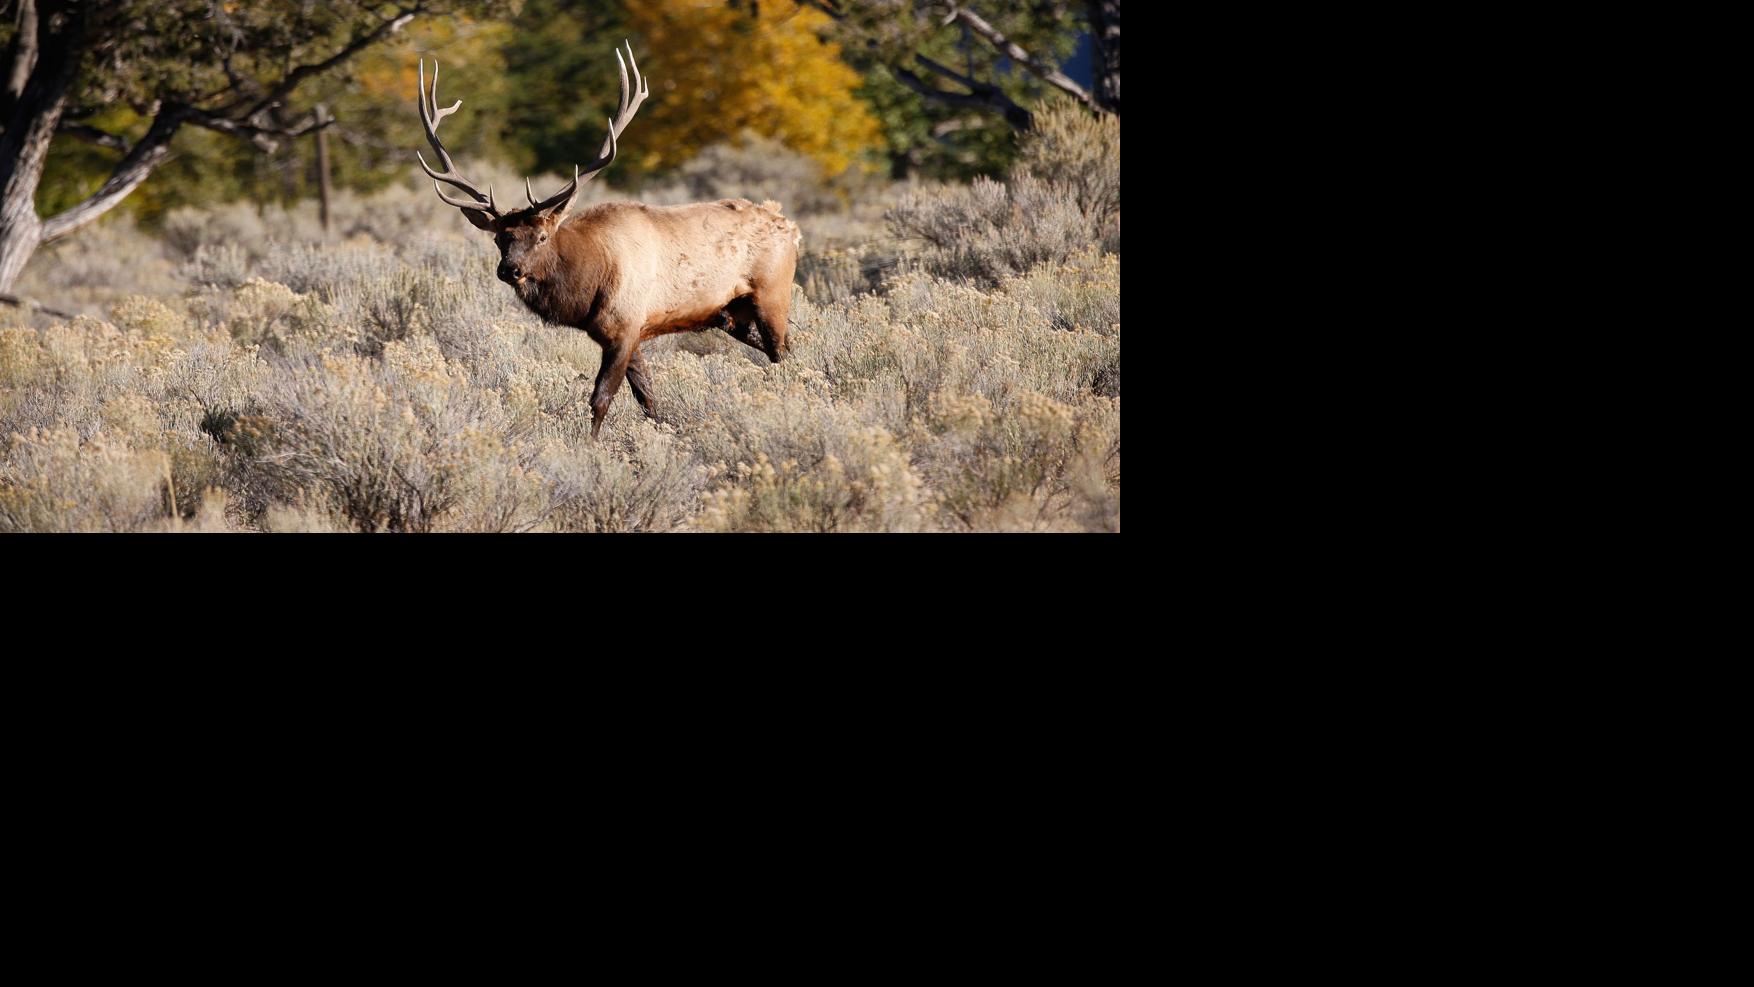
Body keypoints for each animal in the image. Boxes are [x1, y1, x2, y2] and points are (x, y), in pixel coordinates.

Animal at [415, 43, 800, 438]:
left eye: (541, 236)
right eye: (499, 239)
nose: (510, 269)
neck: (588, 286)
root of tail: (790, 226)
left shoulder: (625, 325)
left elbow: (600, 398)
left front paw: (589, 446)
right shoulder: (624, 333)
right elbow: (647, 397)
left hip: (772, 293)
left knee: (781, 352)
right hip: (731, 313)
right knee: (783, 350)